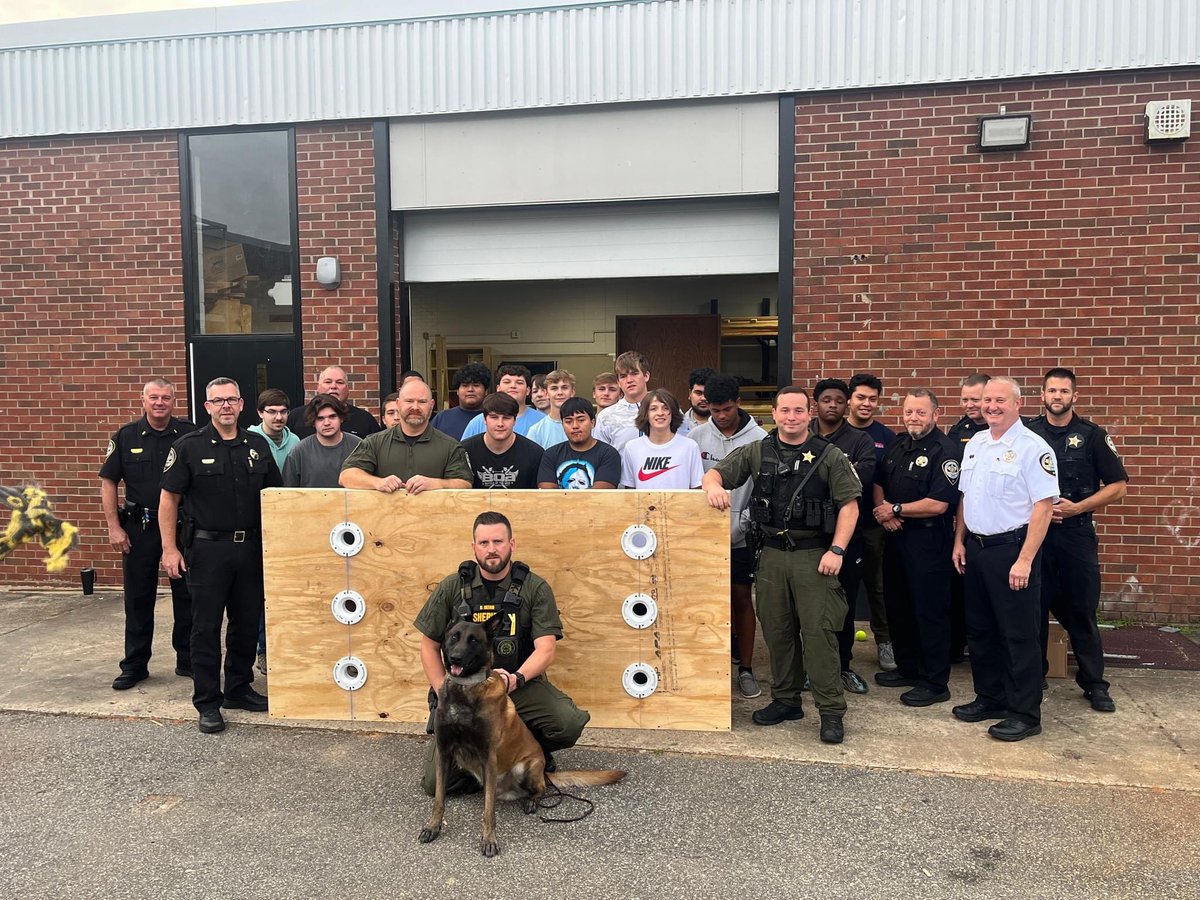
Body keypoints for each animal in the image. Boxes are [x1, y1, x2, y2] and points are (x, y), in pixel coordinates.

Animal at [420, 619, 628, 854]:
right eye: (454, 637)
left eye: (473, 640)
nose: (455, 657)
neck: (465, 688)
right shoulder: (445, 752)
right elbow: (439, 799)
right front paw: (432, 827)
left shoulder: (488, 757)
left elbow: (488, 810)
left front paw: (489, 838)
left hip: (525, 768)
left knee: (541, 789)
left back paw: (532, 800)